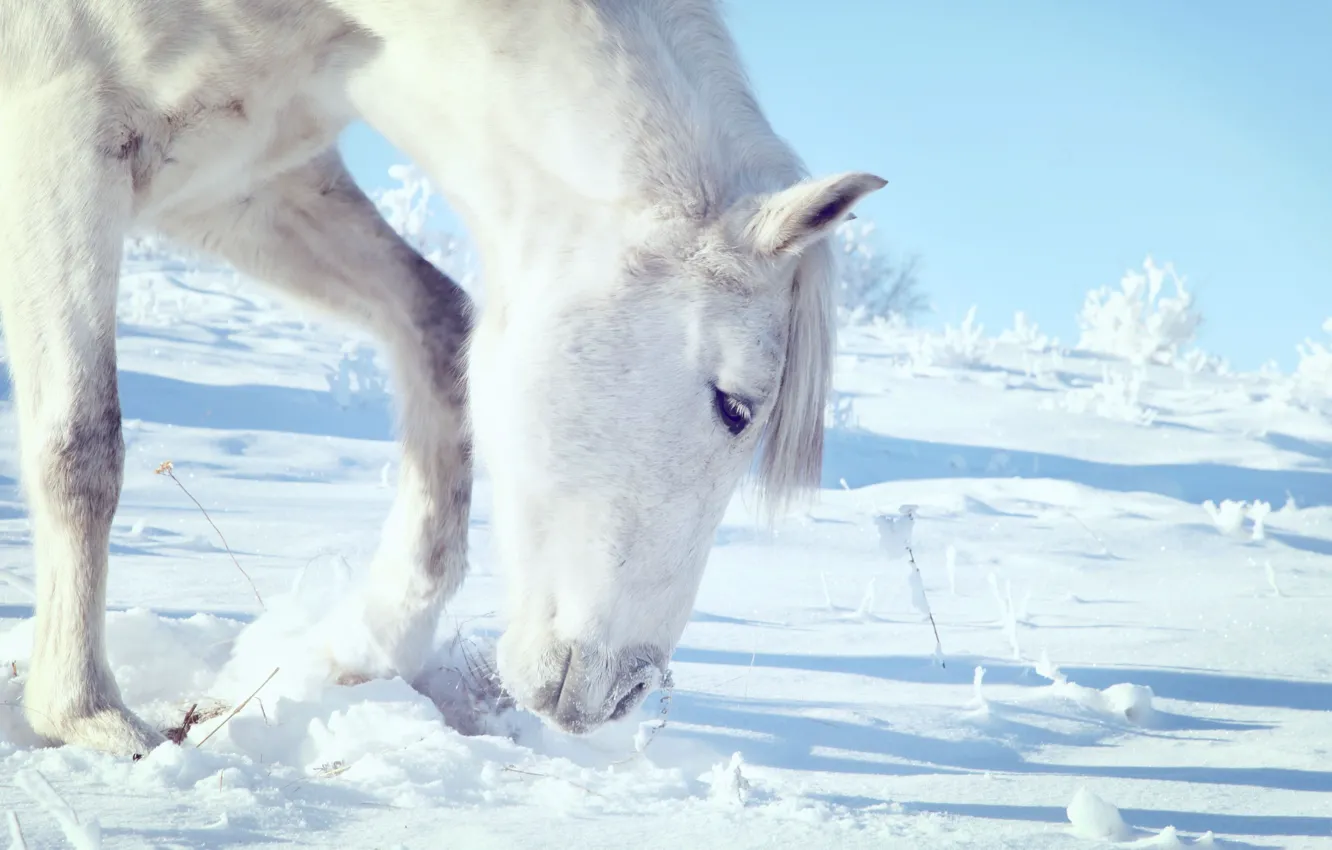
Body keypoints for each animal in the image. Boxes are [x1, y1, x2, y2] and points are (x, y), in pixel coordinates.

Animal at [0, 0, 884, 756]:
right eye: (734, 406)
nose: (625, 693)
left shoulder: (238, 180)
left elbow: (438, 325)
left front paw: (369, 645)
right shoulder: (60, 138)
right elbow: (81, 447)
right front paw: (87, 715)